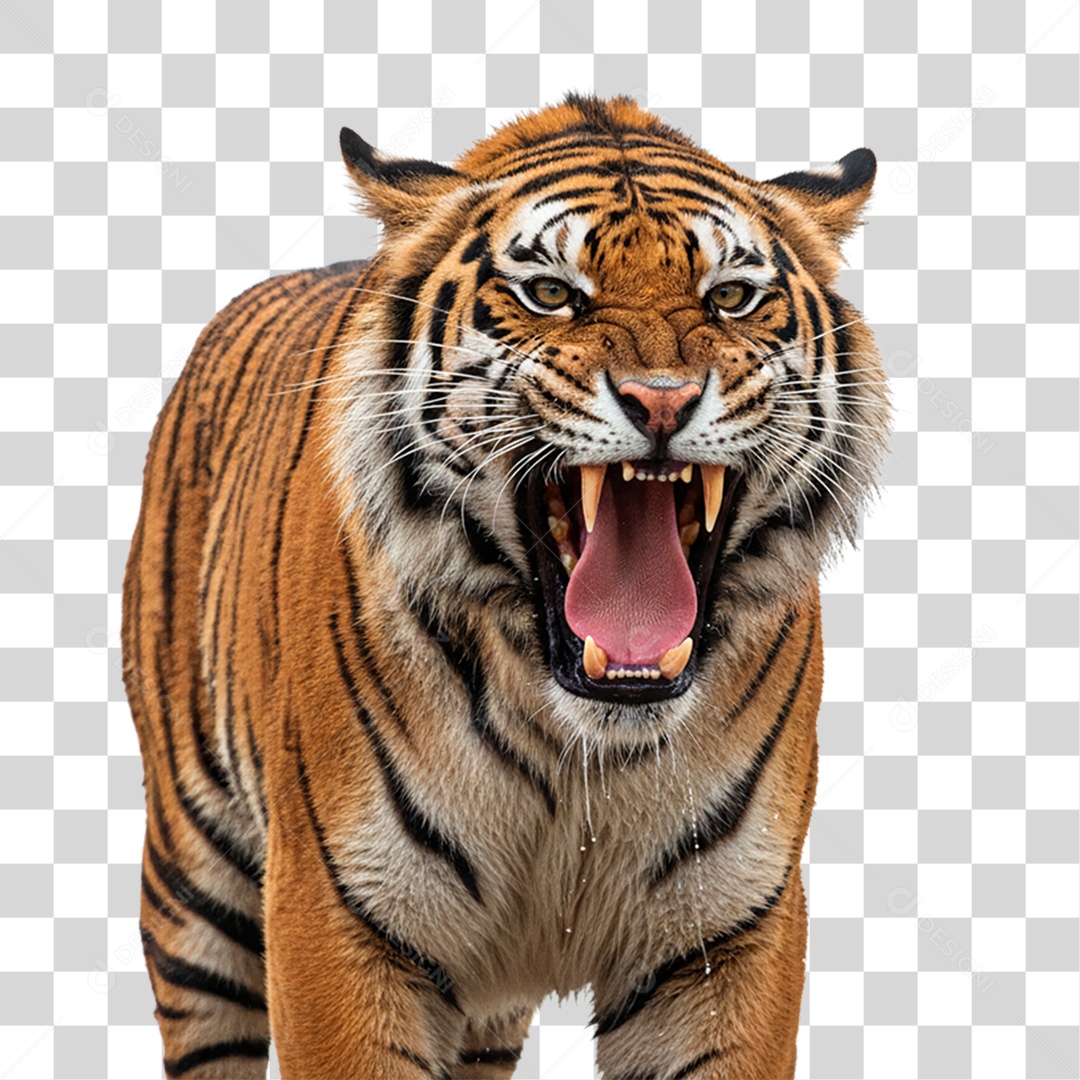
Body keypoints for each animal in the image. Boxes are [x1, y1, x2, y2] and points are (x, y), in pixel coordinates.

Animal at [123, 94, 890, 1079]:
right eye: (551, 294)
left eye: (729, 297)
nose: (663, 400)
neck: (579, 745)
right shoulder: (339, 913)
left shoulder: (724, 934)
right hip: (196, 889)